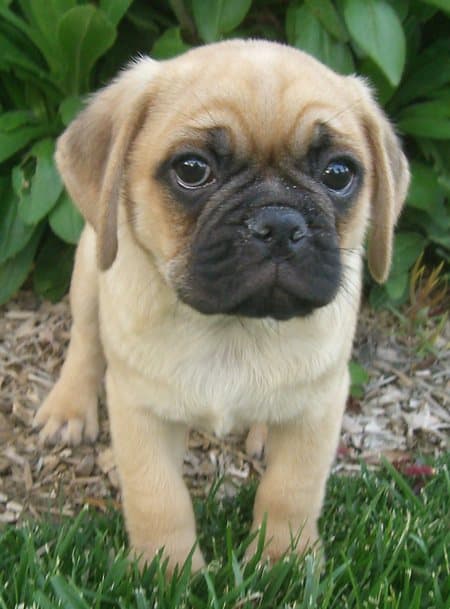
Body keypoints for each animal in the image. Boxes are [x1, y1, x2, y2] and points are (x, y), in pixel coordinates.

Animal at [34, 40, 408, 572]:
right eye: (192, 170)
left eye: (339, 174)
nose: (279, 223)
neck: (233, 326)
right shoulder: (140, 412)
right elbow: (158, 495)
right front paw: (168, 568)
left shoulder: (319, 408)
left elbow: (291, 490)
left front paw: (283, 558)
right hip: (89, 268)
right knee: (85, 342)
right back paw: (68, 408)